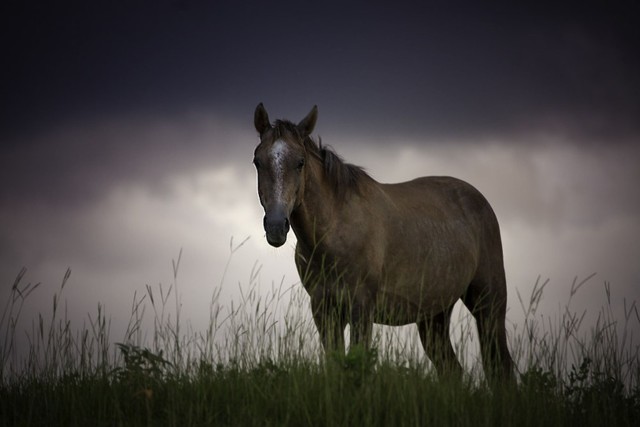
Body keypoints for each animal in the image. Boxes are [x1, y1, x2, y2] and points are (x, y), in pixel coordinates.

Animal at [251, 103, 516, 382]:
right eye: (257, 161)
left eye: (300, 162)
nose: (276, 226)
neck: (335, 230)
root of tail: (479, 200)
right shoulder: (324, 310)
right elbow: (336, 365)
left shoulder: (361, 308)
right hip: (435, 315)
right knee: (452, 369)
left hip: (488, 302)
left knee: (500, 366)